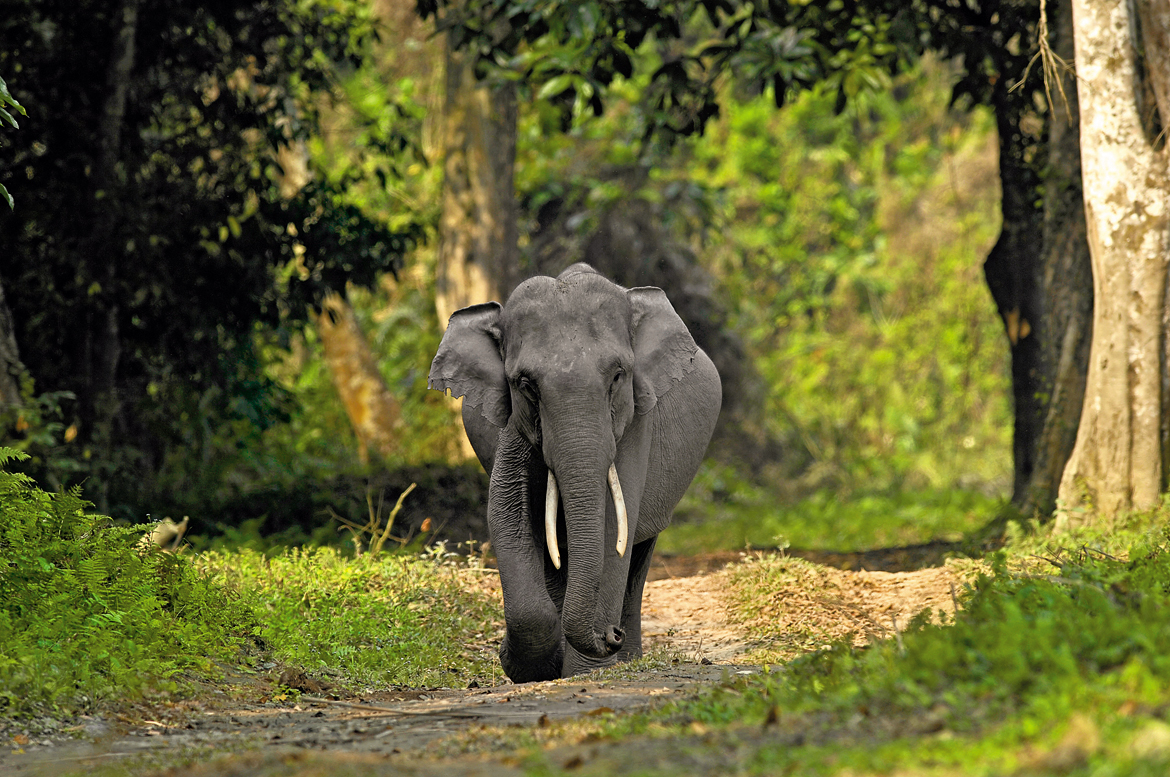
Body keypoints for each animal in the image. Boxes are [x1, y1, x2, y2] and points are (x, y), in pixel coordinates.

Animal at [430, 260, 720, 678]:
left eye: (618, 375)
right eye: (525, 384)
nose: (610, 635)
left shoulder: (636, 420)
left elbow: (614, 525)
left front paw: (584, 672)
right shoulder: (513, 423)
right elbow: (507, 513)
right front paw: (536, 664)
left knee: (639, 549)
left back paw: (626, 658)